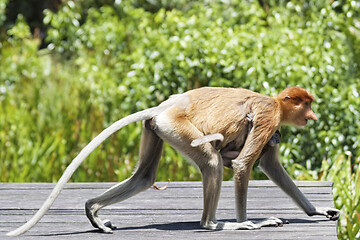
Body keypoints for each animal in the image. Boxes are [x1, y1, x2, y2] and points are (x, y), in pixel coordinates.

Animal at [7, 86, 340, 236]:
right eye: (306, 104)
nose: (313, 116)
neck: (276, 103)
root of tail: (165, 106)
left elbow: (271, 166)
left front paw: (318, 211)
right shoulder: (269, 119)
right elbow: (245, 164)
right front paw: (248, 223)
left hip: (156, 128)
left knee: (144, 176)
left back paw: (93, 210)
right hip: (176, 127)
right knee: (212, 163)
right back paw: (214, 224)